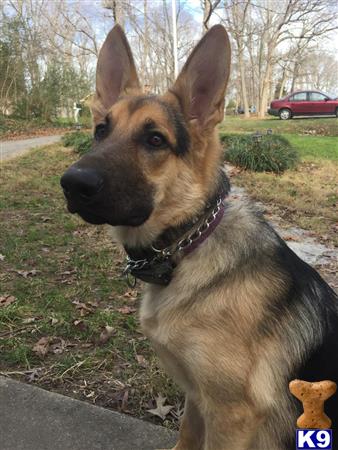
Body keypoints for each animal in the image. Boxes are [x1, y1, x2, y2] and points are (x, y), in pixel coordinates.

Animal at [61, 25, 338, 450]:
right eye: (100, 130)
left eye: (155, 140)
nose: (71, 183)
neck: (188, 244)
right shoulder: (197, 399)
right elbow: (187, 437)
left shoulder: (231, 415)